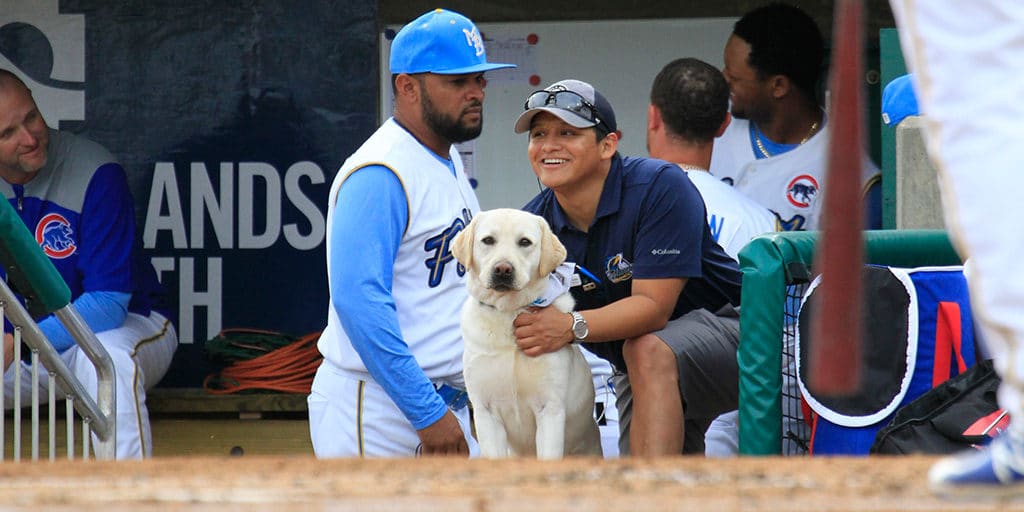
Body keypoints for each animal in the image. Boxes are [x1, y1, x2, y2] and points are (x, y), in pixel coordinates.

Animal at [452, 207, 602, 460]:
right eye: (488, 240)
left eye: (524, 242)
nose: (503, 269)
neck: (509, 313)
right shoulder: (485, 411)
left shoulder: (550, 409)